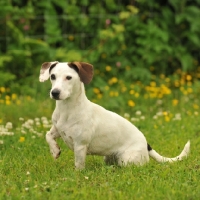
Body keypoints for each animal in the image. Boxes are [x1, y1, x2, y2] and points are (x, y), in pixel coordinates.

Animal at [39, 61, 191, 170]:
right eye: (53, 76)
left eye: (69, 77)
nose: (55, 92)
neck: (67, 109)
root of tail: (146, 145)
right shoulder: (57, 129)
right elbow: (48, 135)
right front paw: (54, 151)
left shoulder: (80, 145)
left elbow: (79, 165)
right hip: (108, 158)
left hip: (126, 160)